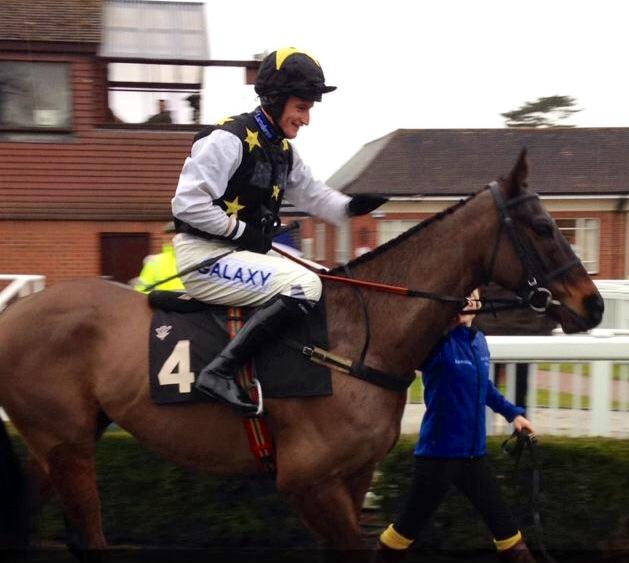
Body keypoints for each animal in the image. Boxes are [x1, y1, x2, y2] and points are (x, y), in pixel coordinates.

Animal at [0, 151, 604, 556]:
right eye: (545, 227)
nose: (593, 304)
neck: (358, 336)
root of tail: (14, 314)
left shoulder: (354, 475)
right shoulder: (308, 482)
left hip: (62, 443)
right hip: (68, 446)